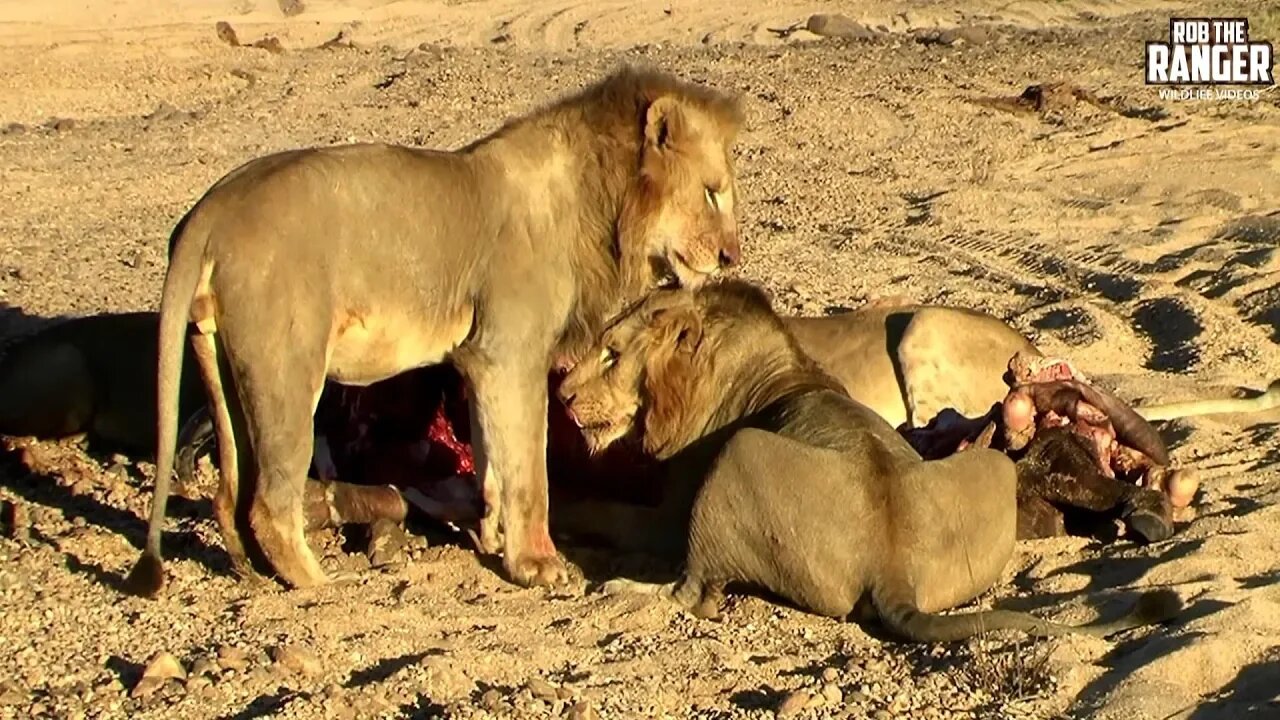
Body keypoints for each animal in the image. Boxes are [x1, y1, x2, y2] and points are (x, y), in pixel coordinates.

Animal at [124, 65, 747, 594]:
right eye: (712, 191)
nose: (730, 256)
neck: (599, 204)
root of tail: (212, 209)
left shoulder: (479, 361)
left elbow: (492, 459)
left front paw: (493, 537)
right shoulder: (511, 354)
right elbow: (530, 471)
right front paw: (537, 564)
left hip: (221, 363)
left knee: (229, 492)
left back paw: (250, 574)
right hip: (287, 372)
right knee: (270, 502)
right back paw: (323, 584)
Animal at [550, 279, 1177, 638]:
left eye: (611, 354)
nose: (564, 397)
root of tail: (892, 566)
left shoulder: (669, 514)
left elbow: (602, 511)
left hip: (742, 449)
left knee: (695, 595)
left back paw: (621, 589)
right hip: (992, 467)